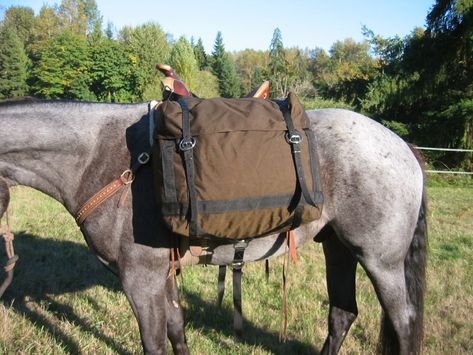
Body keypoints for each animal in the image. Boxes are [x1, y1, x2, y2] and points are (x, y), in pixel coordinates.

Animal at [0, 98, 426, 355]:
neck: (101, 158)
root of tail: (402, 146)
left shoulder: (139, 279)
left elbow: (154, 342)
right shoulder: (161, 274)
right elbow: (176, 328)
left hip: (380, 261)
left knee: (405, 322)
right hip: (338, 248)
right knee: (341, 314)